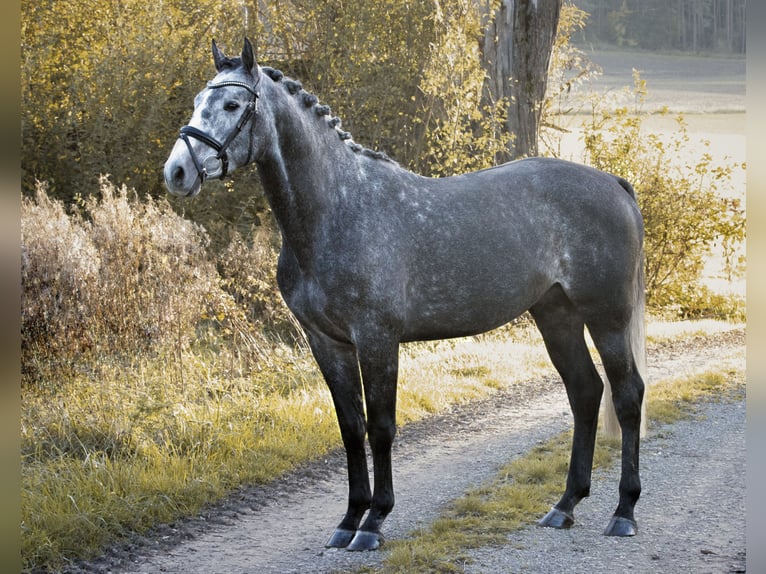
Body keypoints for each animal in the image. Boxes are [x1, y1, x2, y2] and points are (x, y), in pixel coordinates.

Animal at [164, 37, 648, 552]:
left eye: (232, 105)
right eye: (196, 101)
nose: (177, 171)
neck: (338, 209)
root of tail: (614, 185)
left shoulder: (377, 339)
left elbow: (381, 427)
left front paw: (374, 522)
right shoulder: (327, 343)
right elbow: (351, 429)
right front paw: (348, 519)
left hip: (607, 318)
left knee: (627, 395)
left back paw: (623, 512)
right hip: (556, 315)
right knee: (585, 391)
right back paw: (564, 505)